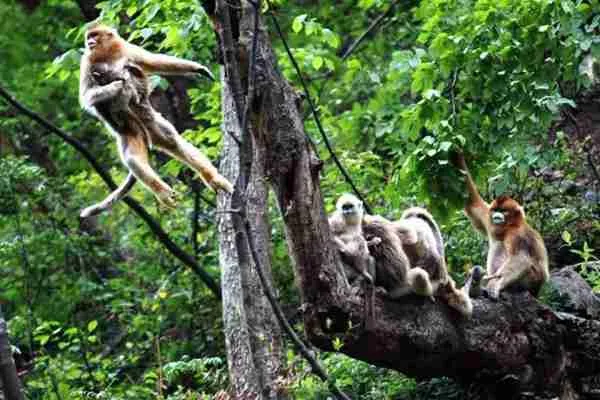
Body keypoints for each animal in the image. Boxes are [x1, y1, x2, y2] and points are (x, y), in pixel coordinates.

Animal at [78, 23, 232, 217]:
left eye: (95, 35)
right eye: (89, 36)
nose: (89, 42)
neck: (106, 55)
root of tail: (144, 132)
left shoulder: (126, 49)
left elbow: (152, 61)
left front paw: (199, 69)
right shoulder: (87, 62)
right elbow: (86, 96)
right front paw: (118, 83)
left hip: (151, 122)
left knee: (174, 142)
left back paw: (214, 180)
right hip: (131, 131)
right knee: (133, 159)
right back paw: (163, 193)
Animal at [454, 153, 548, 300]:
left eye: (503, 211)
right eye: (495, 210)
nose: (497, 216)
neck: (507, 228)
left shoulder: (518, 234)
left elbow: (521, 259)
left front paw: (494, 285)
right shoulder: (488, 219)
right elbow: (472, 202)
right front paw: (456, 153)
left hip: (532, 280)